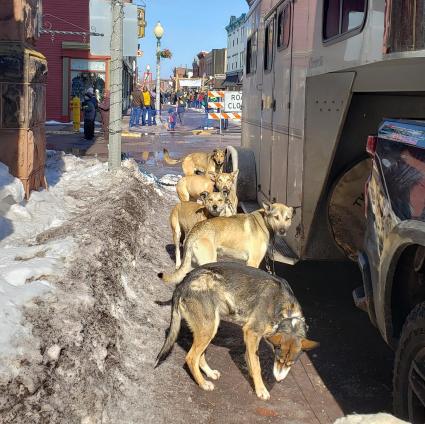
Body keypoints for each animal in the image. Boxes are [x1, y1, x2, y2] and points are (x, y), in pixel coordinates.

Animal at [154, 264, 316, 400]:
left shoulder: (251, 338)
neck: (286, 312)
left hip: (209, 328)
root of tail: (183, 283)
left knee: (199, 356)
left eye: (290, 364)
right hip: (209, 327)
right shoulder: (251, 333)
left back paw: (209, 373)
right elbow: (257, 366)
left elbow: (251, 359)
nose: (279, 380)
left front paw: (253, 377)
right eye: (279, 360)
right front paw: (261, 389)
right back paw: (203, 383)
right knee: (191, 357)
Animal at [157, 203, 294, 284]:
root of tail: (195, 230)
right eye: (276, 217)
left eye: (287, 219)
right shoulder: (253, 262)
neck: (263, 221)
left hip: (194, 263)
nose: (282, 231)